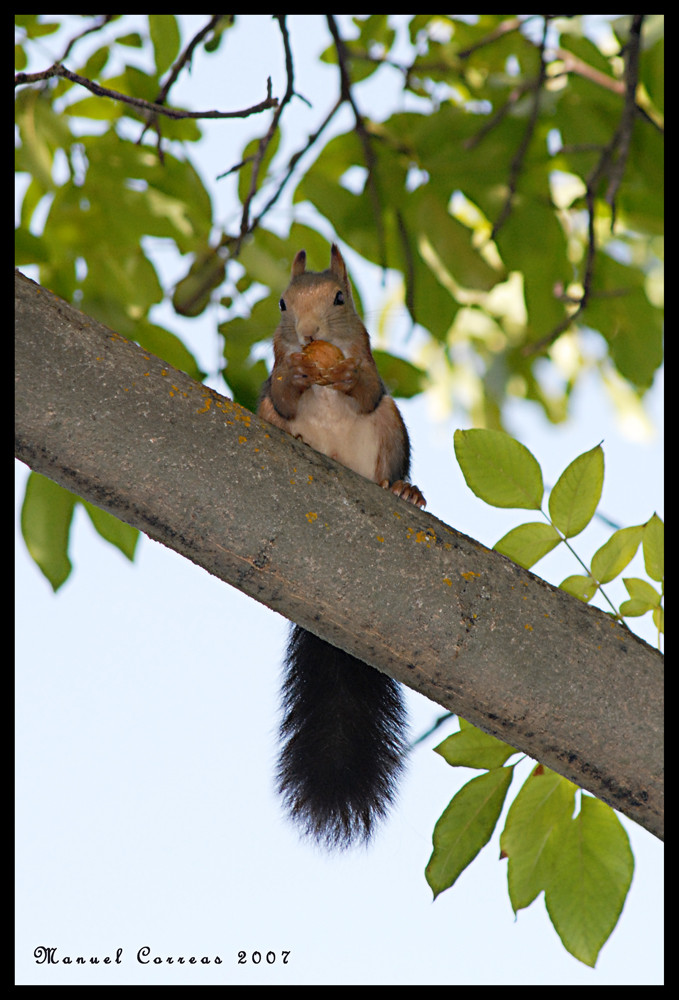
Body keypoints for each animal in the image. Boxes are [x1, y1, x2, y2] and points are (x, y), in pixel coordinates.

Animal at [258, 246, 424, 848]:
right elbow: (282, 393)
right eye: (282, 304)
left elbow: (367, 386)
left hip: (392, 427)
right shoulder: (271, 388)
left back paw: (404, 490)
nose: (308, 335)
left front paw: (348, 374)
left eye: (339, 298)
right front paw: (293, 373)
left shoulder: (374, 376)